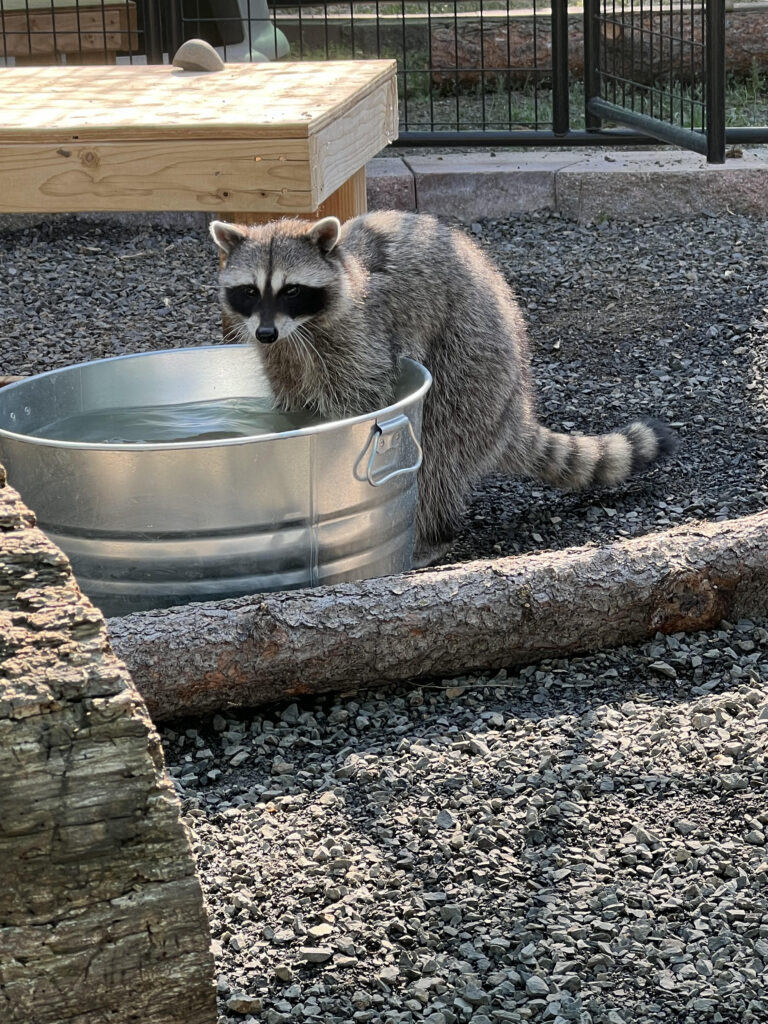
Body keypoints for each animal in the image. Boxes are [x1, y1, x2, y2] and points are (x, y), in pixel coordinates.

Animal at [210, 210, 675, 565]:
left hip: (471, 367)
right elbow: (291, 399)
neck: (300, 331)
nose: (266, 333)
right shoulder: (283, 355)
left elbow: (362, 395)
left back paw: (432, 535)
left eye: (291, 290)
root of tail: (514, 408)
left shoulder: (361, 332)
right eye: (250, 290)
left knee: (437, 451)